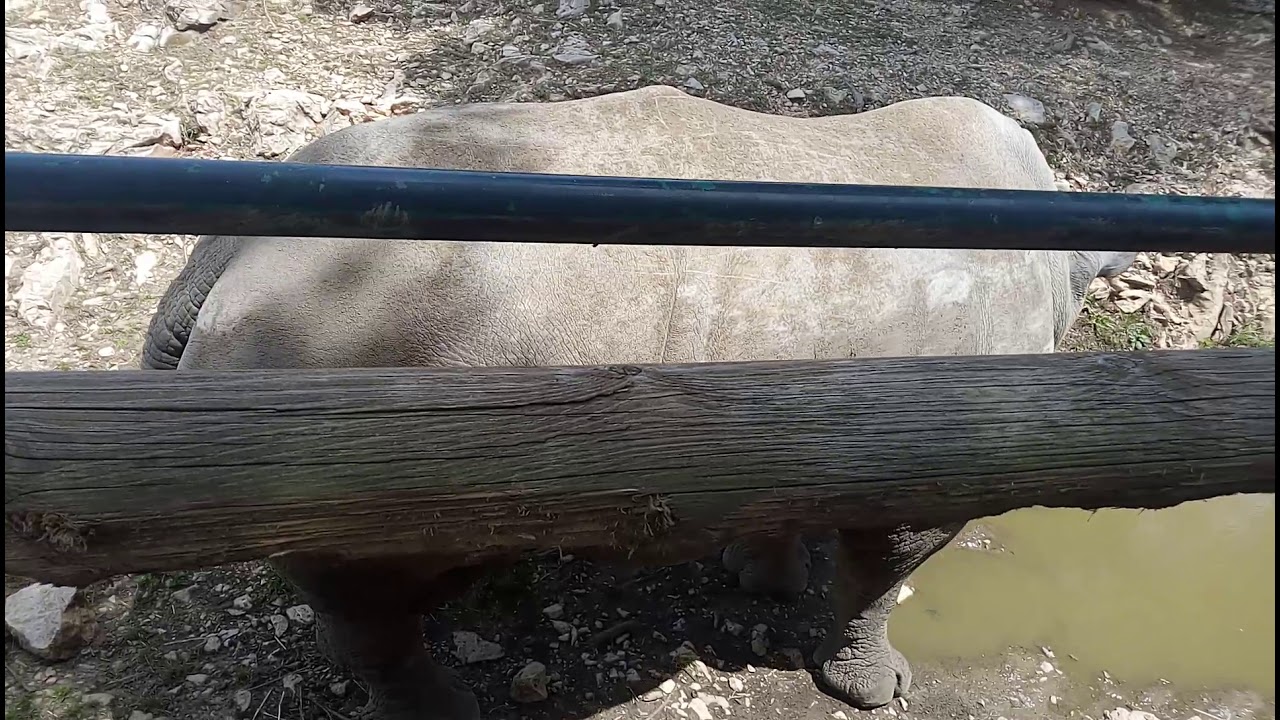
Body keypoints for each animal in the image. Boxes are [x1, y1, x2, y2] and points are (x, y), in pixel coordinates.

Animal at [142, 84, 1135, 719]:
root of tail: (223, 257)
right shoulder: (927, 472)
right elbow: (876, 583)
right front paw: (876, 690)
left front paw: (763, 581)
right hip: (341, 345)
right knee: (372, 585)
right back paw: (449, 711)